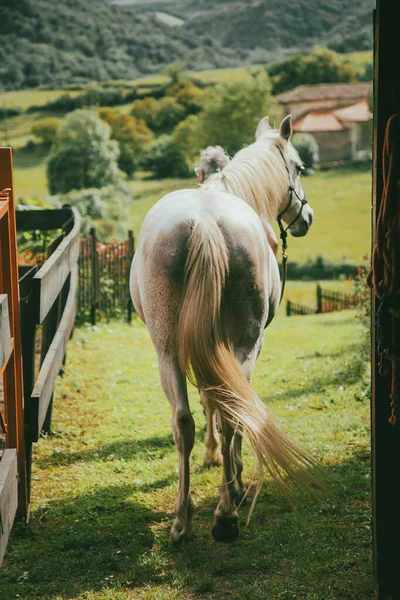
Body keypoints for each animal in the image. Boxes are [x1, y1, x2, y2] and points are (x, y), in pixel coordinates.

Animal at [131, 115, 316, 548]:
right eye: (299, 167)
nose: (307, 217)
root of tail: (204, 222)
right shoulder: (248, 345)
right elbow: (224, 404)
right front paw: (233, 475)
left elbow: (209, 401)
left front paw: (218, 461)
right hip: (244, 344)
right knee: (233, 412)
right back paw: (227, 513)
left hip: (167, 350)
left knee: (183, 421)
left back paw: (184, 521)